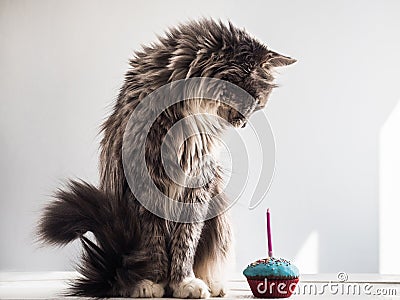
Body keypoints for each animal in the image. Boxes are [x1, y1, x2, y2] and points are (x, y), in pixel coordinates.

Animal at [37, 18, 296, 298]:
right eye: (255, 101)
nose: (244, 124)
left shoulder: (197, 185)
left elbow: (186, 242)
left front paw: (184, 283)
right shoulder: (143, 185)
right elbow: (154, 245)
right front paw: (151, 282)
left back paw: (214, 285)